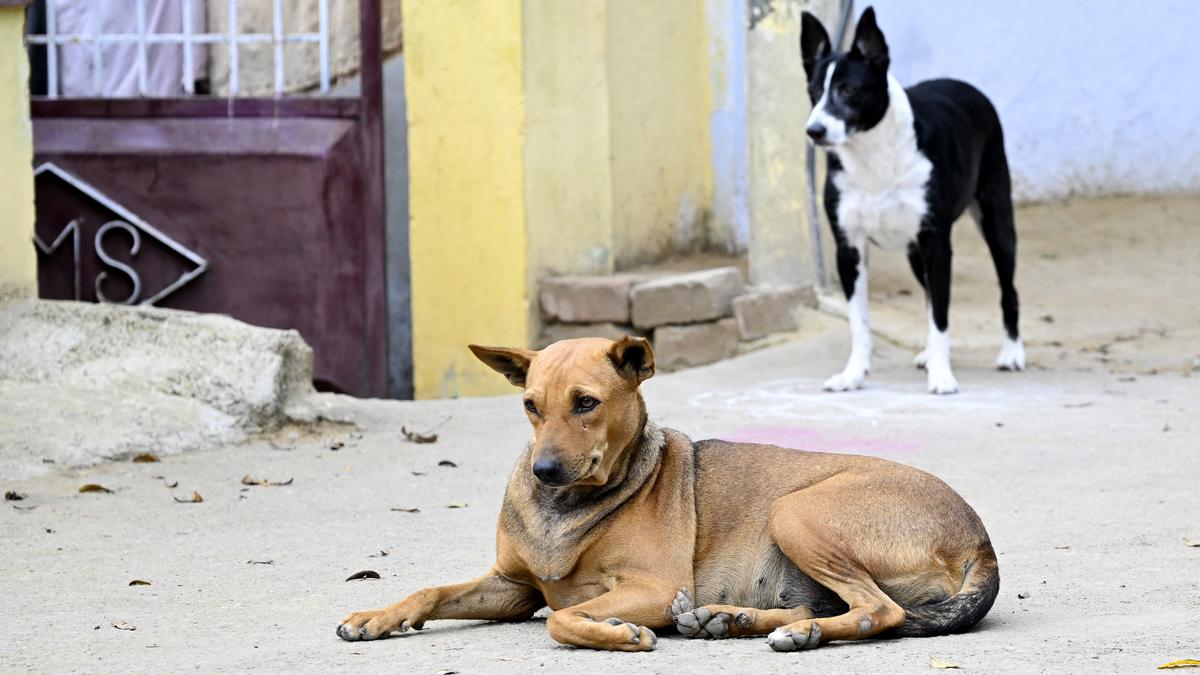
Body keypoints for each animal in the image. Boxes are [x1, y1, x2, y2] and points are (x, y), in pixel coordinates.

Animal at [336, 333, 993, 648]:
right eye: (530, 406)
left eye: (586, 403)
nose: (543, 471)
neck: (565, 510)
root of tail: (979, 538)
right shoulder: (512, 588)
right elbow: (430, 590)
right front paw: (377, 616)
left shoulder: (653, 589)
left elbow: (562, 617)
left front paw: (618, 636)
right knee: (839, 608)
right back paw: (733, 620)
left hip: (796, 511)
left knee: (879, 611)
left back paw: (785, 633)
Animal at [806, 5, 1022, 391]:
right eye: (814, 90)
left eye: (848, 90)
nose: (814, 131)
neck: (873, 156)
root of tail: (966, 86)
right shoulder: (849, 249)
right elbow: (860, 323)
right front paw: (852, 375)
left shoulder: (936, 244)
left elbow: (941, 316)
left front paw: (942, 375)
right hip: (913, 253)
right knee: (927, 296)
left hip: (997, 223)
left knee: (1008, 289)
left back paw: (1011, 353)